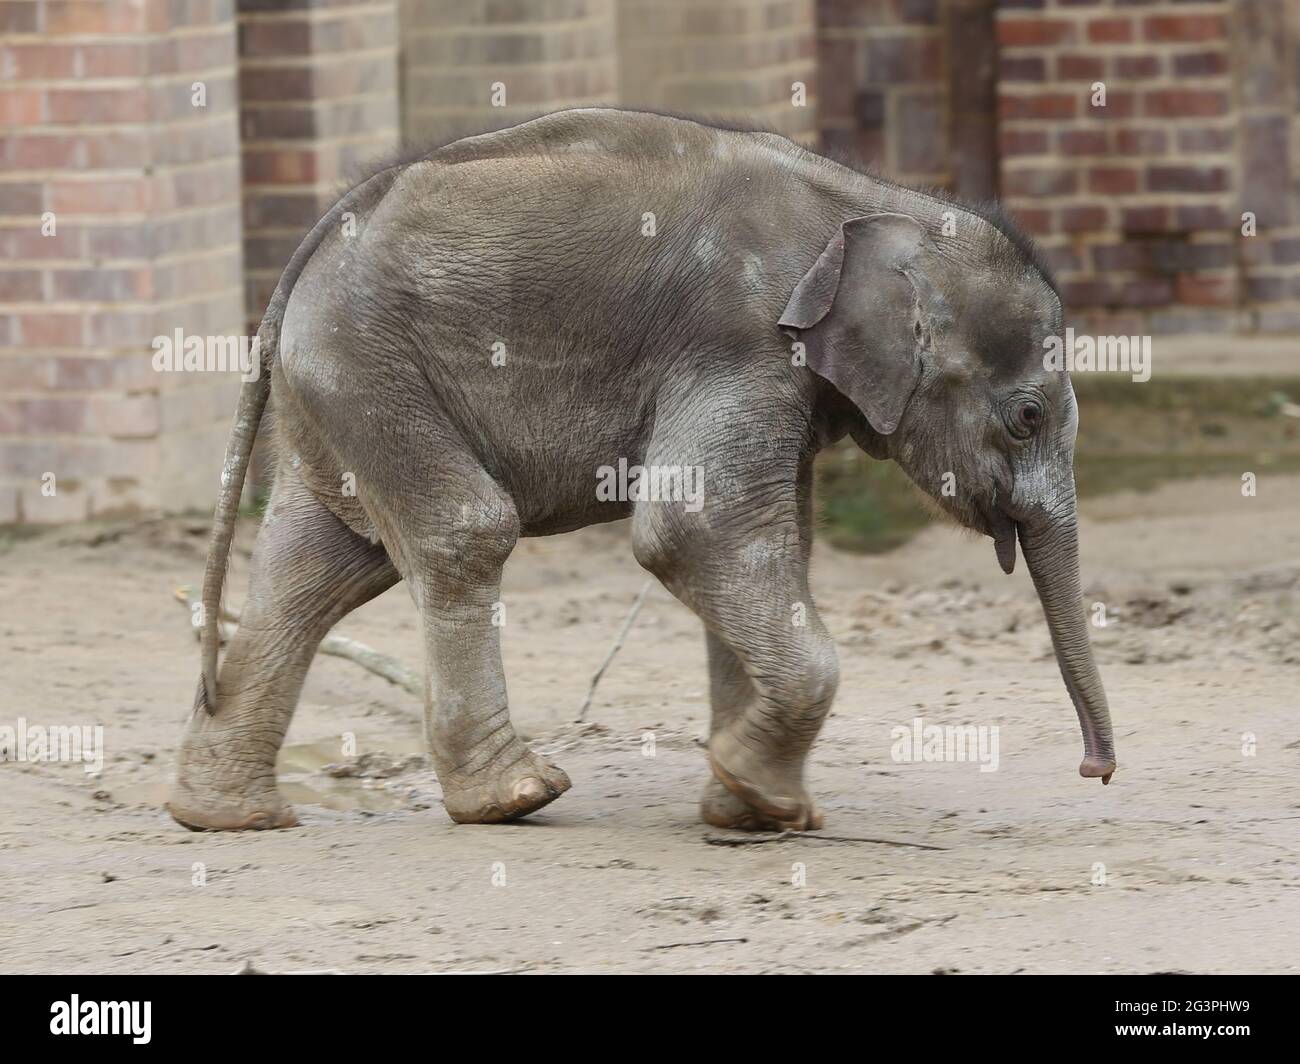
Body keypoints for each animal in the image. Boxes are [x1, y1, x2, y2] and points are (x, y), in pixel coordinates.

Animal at [167, 109, 1112, 837]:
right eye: (1028, 417)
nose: (1095, 771)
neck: (879, 204)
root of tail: (314, 243)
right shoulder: (740, 340)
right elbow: (696, 529)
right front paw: (755, 790)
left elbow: (772, 545)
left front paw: (754, 809)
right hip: (368, 365)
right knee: (463, 530)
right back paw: (515, 797)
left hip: (339, 387)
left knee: (317, 566)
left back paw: (225, 816)